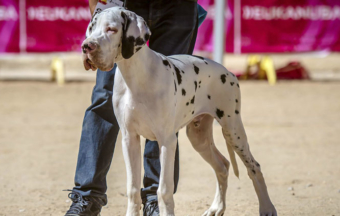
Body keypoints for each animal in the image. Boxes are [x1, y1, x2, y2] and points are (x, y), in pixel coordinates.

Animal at [81, 6, 278, 216]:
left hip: (233, 130)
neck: (135, 76)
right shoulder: (129, 139)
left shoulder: (167, 141)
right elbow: (132, 189)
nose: (86, 46)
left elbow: (164, 189)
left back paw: (267, 208)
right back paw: (216, 207)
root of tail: (229, 72)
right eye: (91, 28)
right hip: (199, 137)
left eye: (111, 29)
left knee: (254, 167)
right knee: (223, 166)